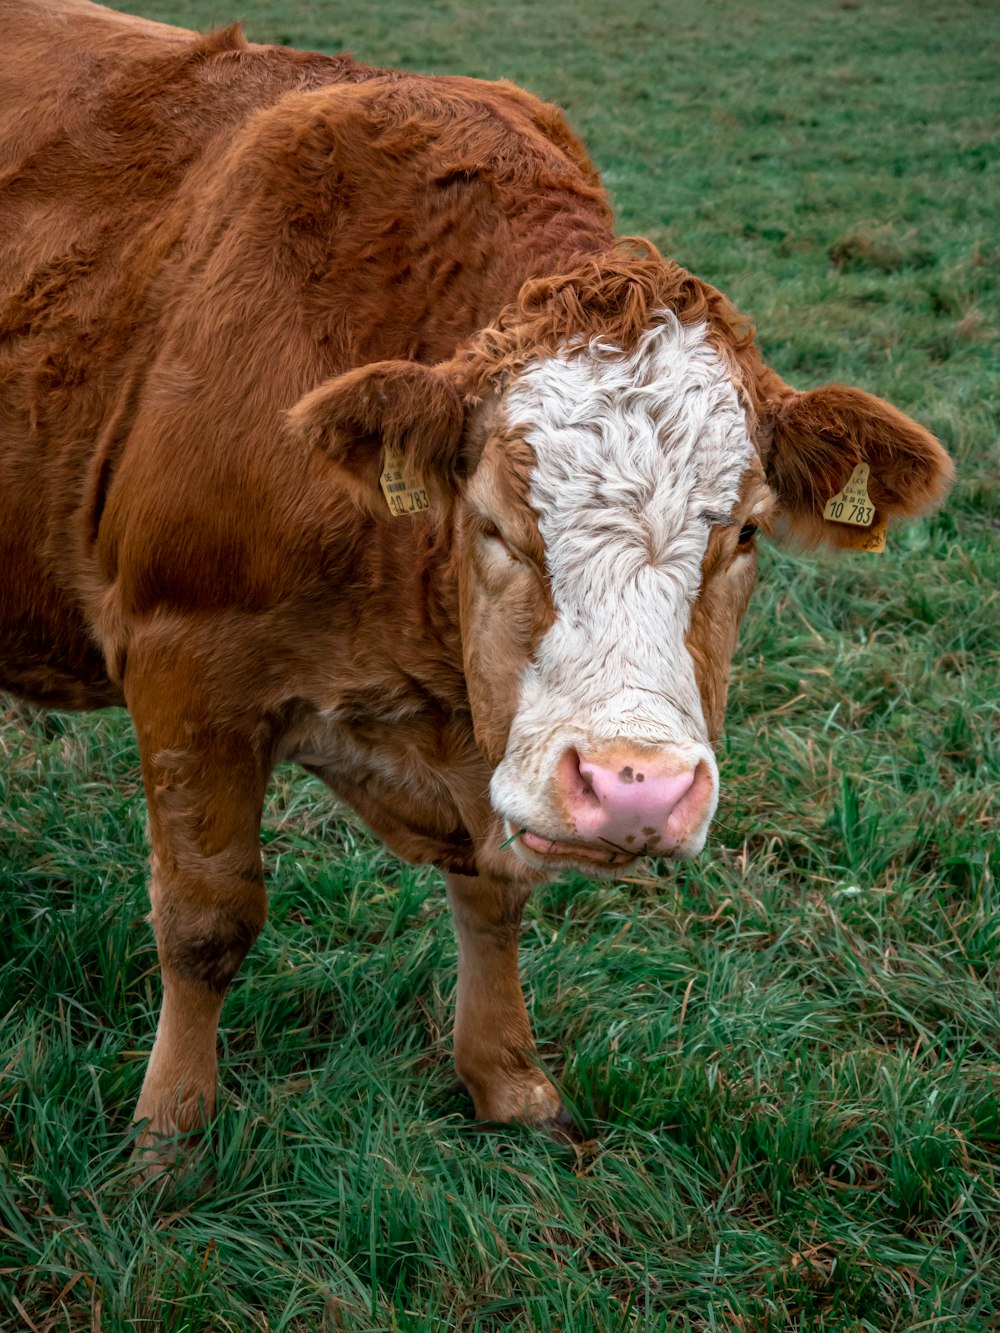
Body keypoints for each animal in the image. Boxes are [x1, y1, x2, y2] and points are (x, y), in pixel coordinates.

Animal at [1, 0, 954, 1167]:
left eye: (743, 534)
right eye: (494, 522)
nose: (636, 788)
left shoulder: (493, 742)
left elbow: (495, 892)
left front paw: (507, 1078)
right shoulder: (184, 667)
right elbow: (207, 921)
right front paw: (169, 1135)